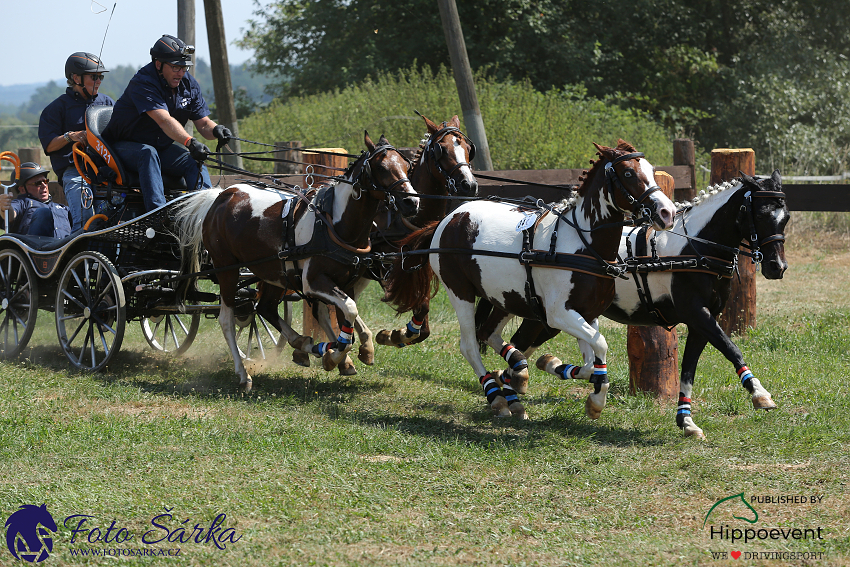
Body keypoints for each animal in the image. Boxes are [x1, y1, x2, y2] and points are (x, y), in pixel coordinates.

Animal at [172, 133, 418, 390]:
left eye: (407, 166)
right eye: (381, 167)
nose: (412, 202)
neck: (334, 224)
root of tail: (219, 197)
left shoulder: (346, 282)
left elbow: (347, 319)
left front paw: (347, 353)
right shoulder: (314, 282)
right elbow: (349, 311)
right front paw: (335, 356)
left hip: (273, 273)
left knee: (265, 307)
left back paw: (303, 343)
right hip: (226, 270)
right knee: (227, 320)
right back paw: (243, 373)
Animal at [380, 140, 672, 420]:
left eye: (650, 168)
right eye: (628, 173)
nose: (667, 212)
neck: (583, 245)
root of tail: (449, 219)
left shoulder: (587, 314)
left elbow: (592, 361)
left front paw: (560, 370)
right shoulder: (558, 314)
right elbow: (600, 345)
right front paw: (596, 401)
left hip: (506, 297)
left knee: (489, 333)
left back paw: (516, 373)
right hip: (460, 292)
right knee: (470, 346)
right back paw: (497, 396)